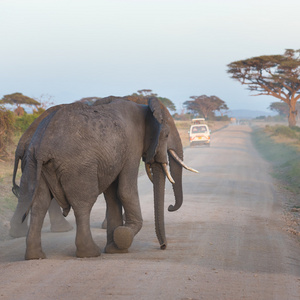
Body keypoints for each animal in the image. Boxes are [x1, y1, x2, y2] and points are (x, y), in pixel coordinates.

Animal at [21, 97, 197, 258]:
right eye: (166, 135)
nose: (163, 246)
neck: (145, 108)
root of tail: (43, 145)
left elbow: (113, 197)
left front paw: (115, 249)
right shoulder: (132, 146)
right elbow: (126, 191)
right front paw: (123, 236)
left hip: (32, 163)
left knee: (39, 204)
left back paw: (35, 256)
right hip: (77, 166)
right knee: (83, 203)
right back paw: (90, 253)